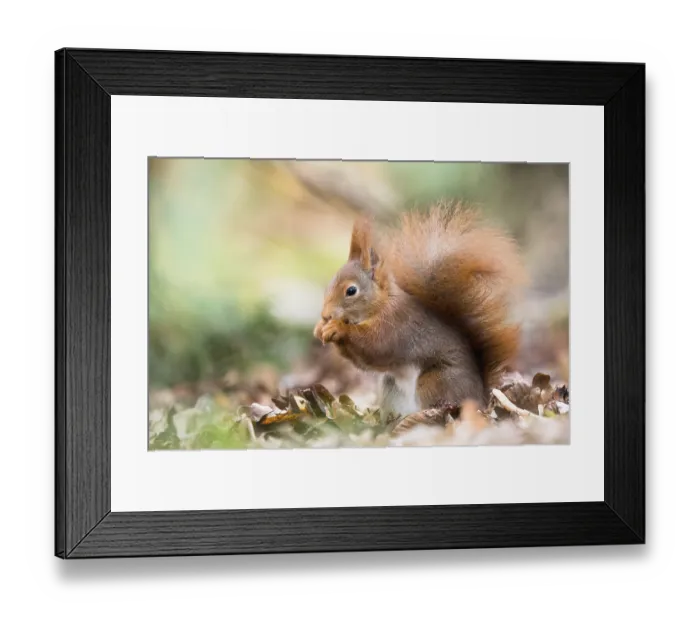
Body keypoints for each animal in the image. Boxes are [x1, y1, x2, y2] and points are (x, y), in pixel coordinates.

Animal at [313, 201, 527, 415]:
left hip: (436, 381)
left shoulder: (396, 324)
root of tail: (480, 398)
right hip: (391, 385)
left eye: (351, 290)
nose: (325, 315)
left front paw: (337, 328)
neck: (382, 304)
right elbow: (364, 361)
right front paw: (320, 328)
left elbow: (374, 346)